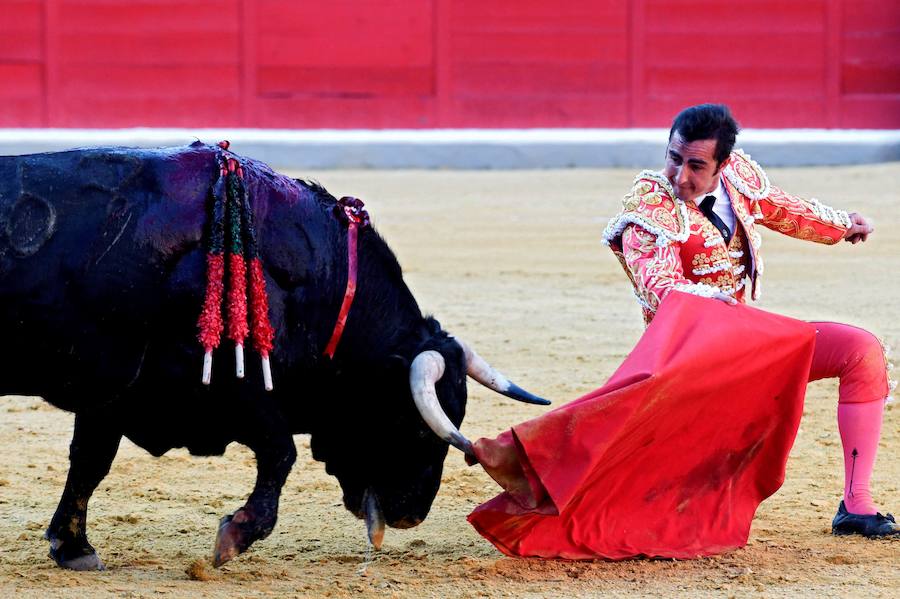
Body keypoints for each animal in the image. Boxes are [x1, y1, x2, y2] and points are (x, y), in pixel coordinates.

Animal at [0, 144, 544, 572]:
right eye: (410, 423)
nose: (413, 512)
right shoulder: (230, 382)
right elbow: (281, 451)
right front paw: (234, 536)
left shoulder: (112, 394)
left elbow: (89, 462)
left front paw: (72, 547)